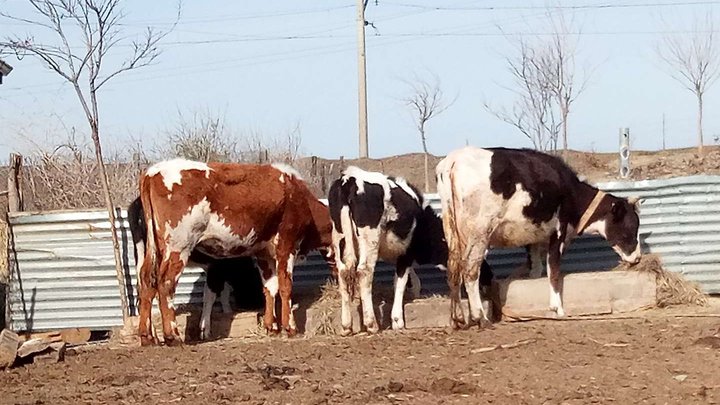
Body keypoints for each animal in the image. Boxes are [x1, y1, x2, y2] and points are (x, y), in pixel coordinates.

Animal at [129, 197, 264, 340]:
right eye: (254, 282)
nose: (258, 304)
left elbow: (223, 293)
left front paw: (226, 312)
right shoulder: (215, 266)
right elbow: (210, 295)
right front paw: (205, 330)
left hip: (141, 254)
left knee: (142, 290)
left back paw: (151, 335)